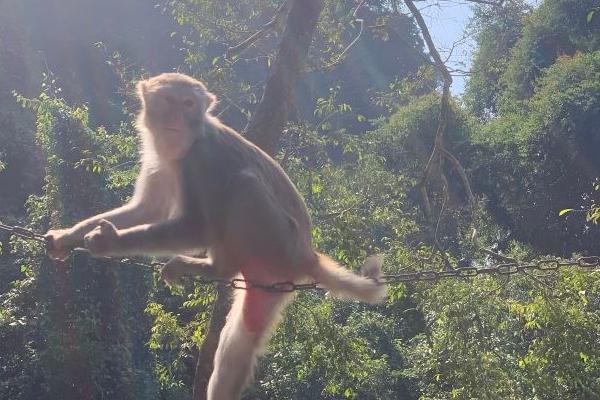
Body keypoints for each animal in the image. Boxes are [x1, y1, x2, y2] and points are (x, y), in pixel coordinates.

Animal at [44, 72, 386, 400]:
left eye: (188, 104)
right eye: (168, 100)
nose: (177, 119)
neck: (184, 145)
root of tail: (308, 255)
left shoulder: (201, 160)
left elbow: (198, 226)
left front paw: (109, 242)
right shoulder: (159, 157)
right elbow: (146, 209)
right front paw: (67, 236)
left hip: (278, 241)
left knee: (243, 185)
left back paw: (217, 268)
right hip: (270, 283)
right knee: (237, 344)